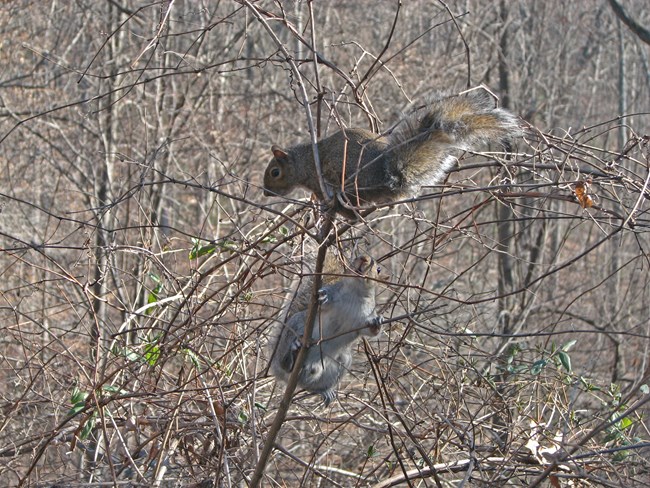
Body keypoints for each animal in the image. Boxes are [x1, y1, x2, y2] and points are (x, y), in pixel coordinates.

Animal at [263, 89, 521, 214]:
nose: (265, 193)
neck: (304, 161)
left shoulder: (317, 178)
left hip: (348, 179)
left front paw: (325, 205)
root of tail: (390, 178)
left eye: (275, 172)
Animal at [268, 254, 382, 405]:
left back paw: (324, 390)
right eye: (355, 258)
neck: (355, 292)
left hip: (342, 362)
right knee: (285, 362)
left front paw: (377, 322)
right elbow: (321, 302)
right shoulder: (332, 294)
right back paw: (292, 354)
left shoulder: (364, 317)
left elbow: (370, 332)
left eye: (378, 269)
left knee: (309, 385)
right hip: (295, 325)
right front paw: (324, 296)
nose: (363, 258)